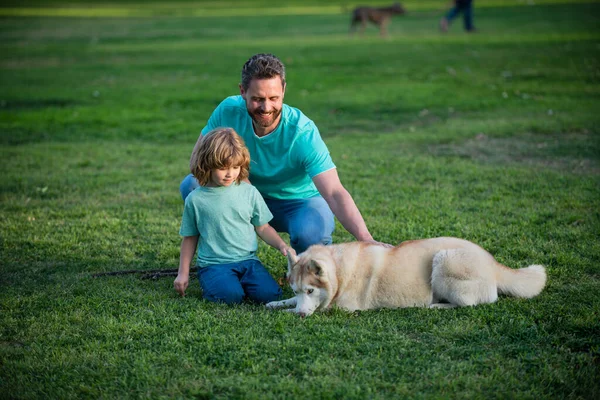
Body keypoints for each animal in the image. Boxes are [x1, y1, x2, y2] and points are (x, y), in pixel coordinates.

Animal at [264, 238, 548, 318]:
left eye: (311, 291)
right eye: (298, 289)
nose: (302, 315)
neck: (341, 272)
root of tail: (493, 262)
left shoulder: (343, 309)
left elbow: (319, 309)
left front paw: (288, 312)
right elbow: (287, 302)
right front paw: (277, 303)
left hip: (444, 260)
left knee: (471, 303)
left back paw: (436, 305)